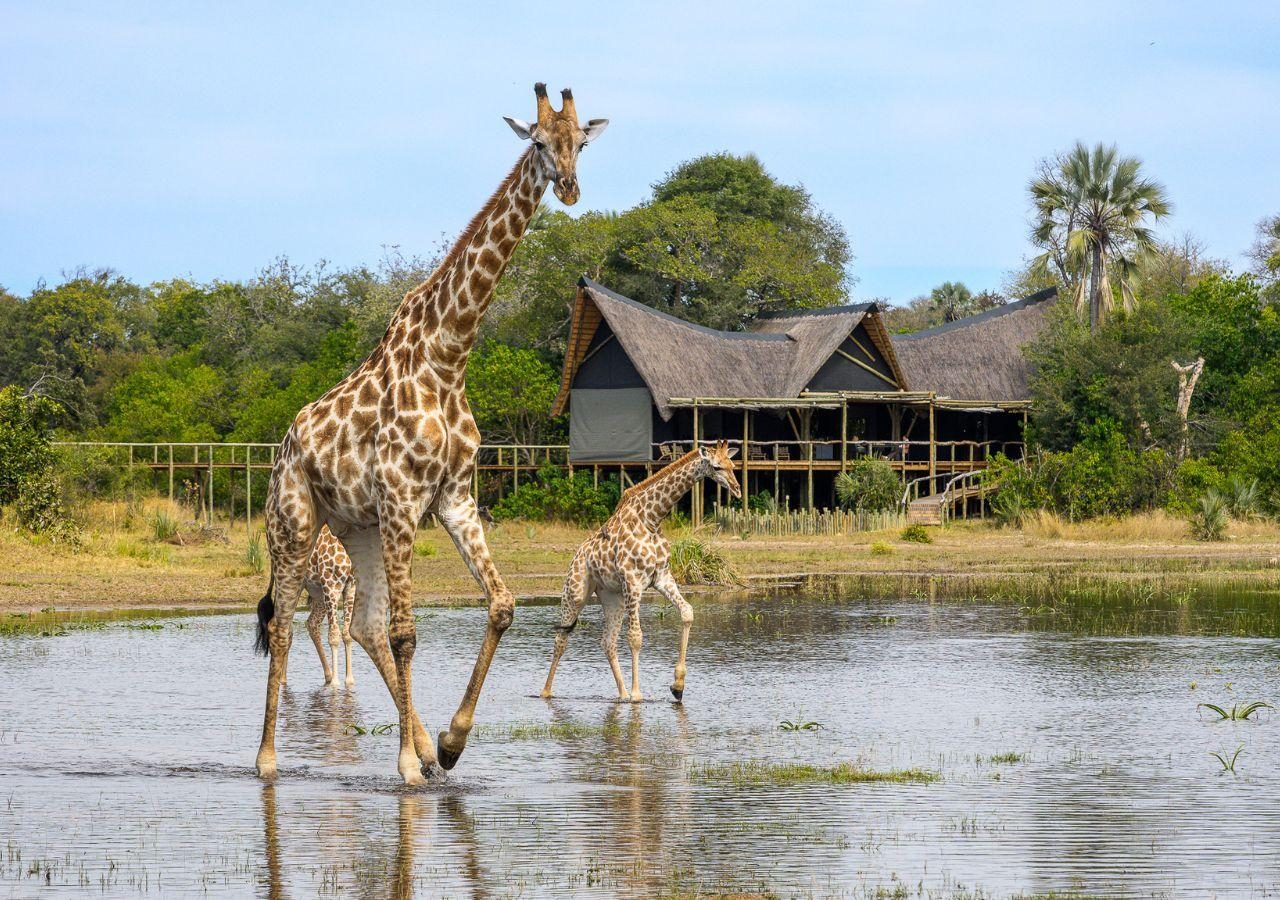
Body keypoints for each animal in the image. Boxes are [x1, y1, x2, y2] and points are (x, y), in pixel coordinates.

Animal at [252, 83, 609, 784]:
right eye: (536, 141)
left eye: (580, 142)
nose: (570, 187)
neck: (450, 355)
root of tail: (284, 446)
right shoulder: (401, 497)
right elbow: (406, 632)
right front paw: (410, 767)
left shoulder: (454, 495)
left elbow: (501, 605)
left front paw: (447, 743)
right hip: (296, 521)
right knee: (284, 623)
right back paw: (268, 759)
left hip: (356, 526)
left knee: (359, 623)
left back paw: (417, 744)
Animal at [541, 442, 740, 703]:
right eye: (716, 467)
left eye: (733, 465)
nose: (737, 489)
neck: (651, 520)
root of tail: (576, 557)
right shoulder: (633, 581)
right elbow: (635, 636)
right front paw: (638, 695)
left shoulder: (662, 577)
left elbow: (687, 612)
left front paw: (677, 686)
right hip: (575, 592)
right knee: (561, 639)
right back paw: (546, 691)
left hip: (611, 597)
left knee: (607, 642)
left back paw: (622, 694)